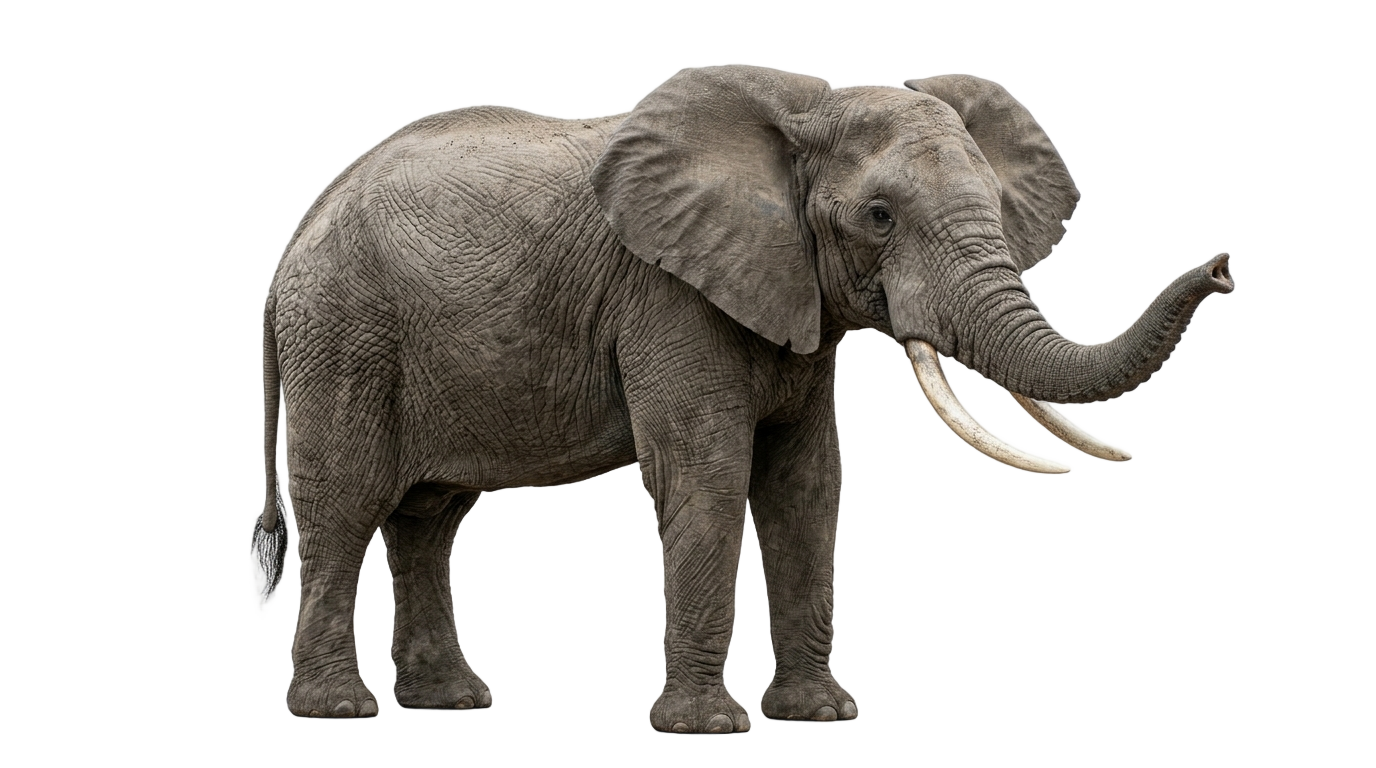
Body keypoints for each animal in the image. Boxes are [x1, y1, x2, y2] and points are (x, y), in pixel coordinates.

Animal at [250, 64, 1232, 731]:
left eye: (995, 200)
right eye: (879, 217)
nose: (1223, 272)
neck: (808, 105)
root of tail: (295, 235)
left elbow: (805, 488)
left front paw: (821, 717)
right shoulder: (667, 296)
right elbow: (708, 479)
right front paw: (707, 730)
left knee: (427, 517)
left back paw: (450, 704)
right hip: (344, 331)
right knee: (347, 504)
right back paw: (340, 713)